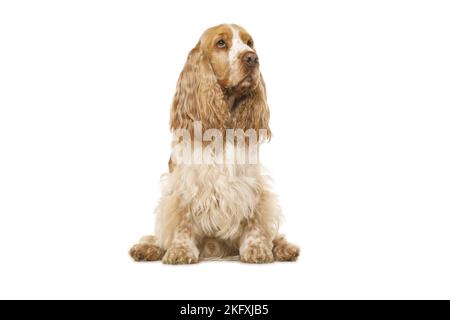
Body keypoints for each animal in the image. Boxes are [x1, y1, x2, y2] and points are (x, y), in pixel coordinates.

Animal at [129, 24, 298, 264]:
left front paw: (257, 249)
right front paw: (180, 250)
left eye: (250, 42)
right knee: (159, 237)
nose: (252, 58)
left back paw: (284, 249)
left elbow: (254, 220)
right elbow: (183, 222)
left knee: (274, 235)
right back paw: (147, 248)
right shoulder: (183, 185)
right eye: (221, 43)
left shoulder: (253, 184)